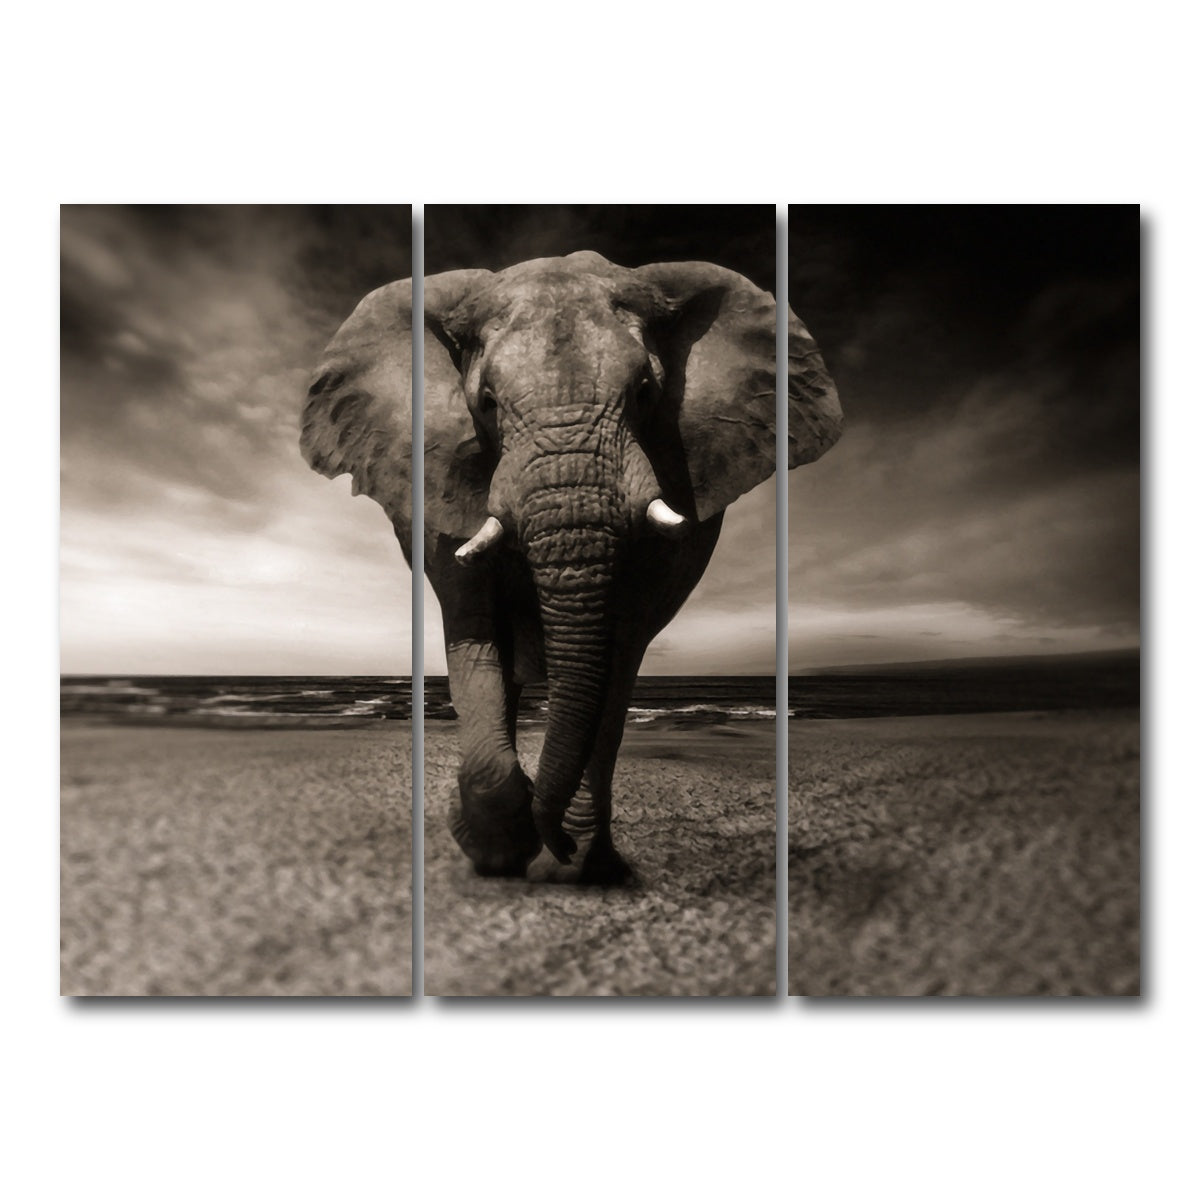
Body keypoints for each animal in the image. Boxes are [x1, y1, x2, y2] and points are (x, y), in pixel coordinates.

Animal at [301, 250, 841, 884]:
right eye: (486, 403)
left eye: (645, 392)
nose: (553, 839)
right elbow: (474, 629)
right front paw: (500, 850)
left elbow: (619, 647)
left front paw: (572, 860)